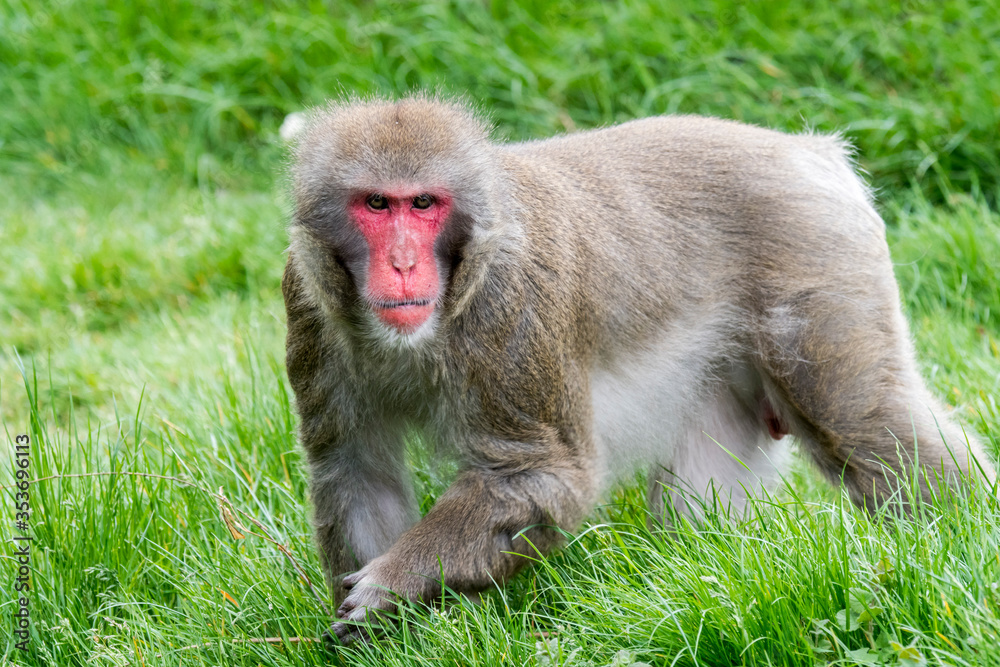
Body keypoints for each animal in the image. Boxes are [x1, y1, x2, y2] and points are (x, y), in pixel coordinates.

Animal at [282, 96, 994, 645]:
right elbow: (356, 470)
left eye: (424, 204)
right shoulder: (309, 305)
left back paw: (965, 538)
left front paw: (389, 586)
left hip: (817, 265)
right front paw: (375, 636)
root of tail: (808, 152)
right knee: (704, 499)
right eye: (377, 205)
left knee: (863, 421)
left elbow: (542, 477)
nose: (403, 263)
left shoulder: (514, 311)